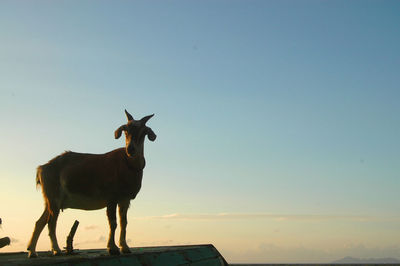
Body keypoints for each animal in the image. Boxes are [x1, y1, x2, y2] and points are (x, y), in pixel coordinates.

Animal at [26, 110, 156, 258]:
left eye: (143, 132)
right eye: (125, 130)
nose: (130, 149)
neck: (127, 164)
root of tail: (42, 168)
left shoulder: (125, 199)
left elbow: (124, 223)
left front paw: (125, 247)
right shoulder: (111, 197)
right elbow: (113, 223)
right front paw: (112, 248)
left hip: (49, 200)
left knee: (40, 222)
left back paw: (32, 252)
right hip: (54, 198)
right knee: (51, 223)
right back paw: (56, 250)